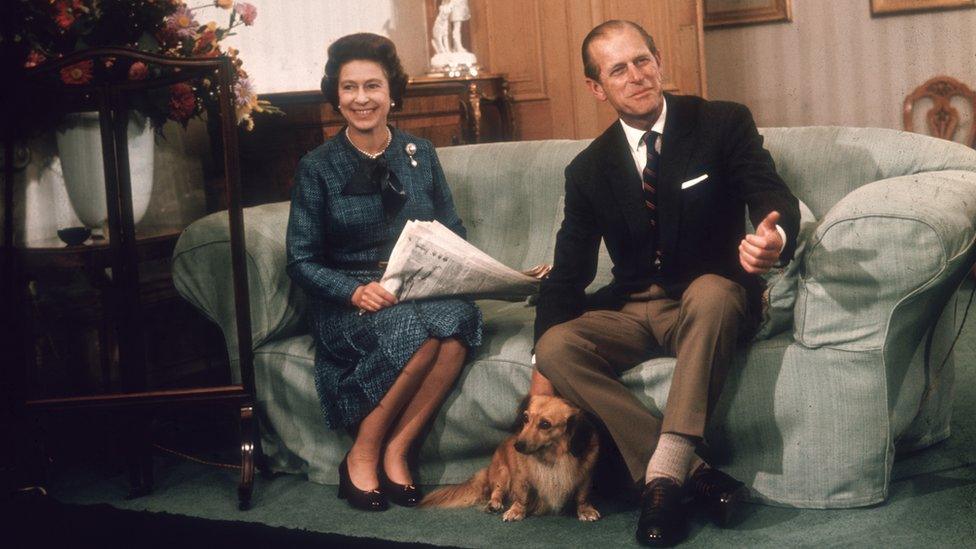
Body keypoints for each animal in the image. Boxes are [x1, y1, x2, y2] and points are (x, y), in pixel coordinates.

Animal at [422, 396, 604, 520]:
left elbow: (582, 497)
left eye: (545, 424)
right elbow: (521, 497)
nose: (517, 446)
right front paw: (517, 511)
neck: (551, 458)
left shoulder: (585, 477)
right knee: (496, 491)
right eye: (525, 418)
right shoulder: (521, 479)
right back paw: (494, 504)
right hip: (502, 474)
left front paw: (585, 510)